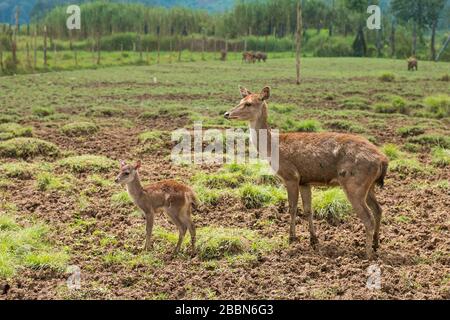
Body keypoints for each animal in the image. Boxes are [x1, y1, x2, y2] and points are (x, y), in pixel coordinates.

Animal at [225, 86, 390, 258]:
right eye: (241, 100)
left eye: (249, 104)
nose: (227, 114)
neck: (273, 148)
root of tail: (383, 160)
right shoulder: (305, 181)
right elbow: (308, 210)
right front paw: (313, 239)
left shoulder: (291, 175)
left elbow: (292, 208)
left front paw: (291, 238)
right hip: (369, 186)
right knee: (378, 209)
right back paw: (376, 244)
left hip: (354, 183)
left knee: (368, 217)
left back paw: (367, 254)